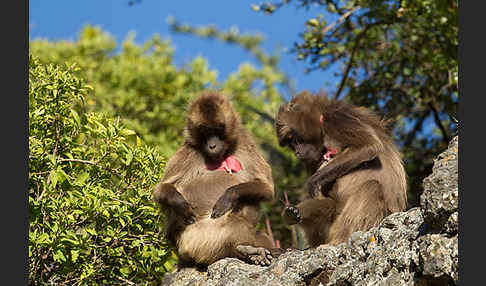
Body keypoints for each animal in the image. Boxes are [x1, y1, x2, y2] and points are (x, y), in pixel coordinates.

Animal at [154, 92, 280, 268]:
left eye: (217, 130)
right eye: (205, 132)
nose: (212, 146)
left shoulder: (244, 140)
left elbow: (267, 188)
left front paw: (228, 196)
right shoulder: (188, 149)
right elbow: (161, 189)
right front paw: (182, 206)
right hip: (196, 240)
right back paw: (246, 249)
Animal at [276, 91, 408, 246]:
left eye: (296, 140)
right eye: (292, 144)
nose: (297, 152)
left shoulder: (337, 119)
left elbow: (369, 146)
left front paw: (313, 182)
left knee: (372, 187)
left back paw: (339, 240)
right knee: (329, 204)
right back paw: (293, 214)